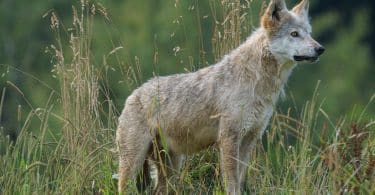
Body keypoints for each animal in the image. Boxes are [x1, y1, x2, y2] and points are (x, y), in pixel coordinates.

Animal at [117, 0, 326, 193]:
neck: (257, 82)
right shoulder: (228, 139)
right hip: (134, 164)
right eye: (294, 34)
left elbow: (239, 180)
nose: (320, 49)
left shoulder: (250, 139)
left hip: (171, 167)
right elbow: (231, 183)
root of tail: (132, 96)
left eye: (309, 33)